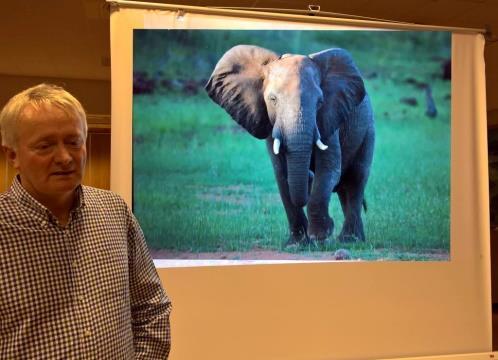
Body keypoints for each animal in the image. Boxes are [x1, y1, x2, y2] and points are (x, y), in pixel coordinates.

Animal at [205, 43, 374, 243]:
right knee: (345, 188)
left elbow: (329, 170)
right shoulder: (270, 125)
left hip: (368, 130)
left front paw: (320, 235)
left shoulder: (328, 119)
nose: (309, 174)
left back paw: (350, 240)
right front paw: (297, 244)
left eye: (320, 102)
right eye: (272, 100)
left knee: (356, 179)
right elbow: (282, 175)